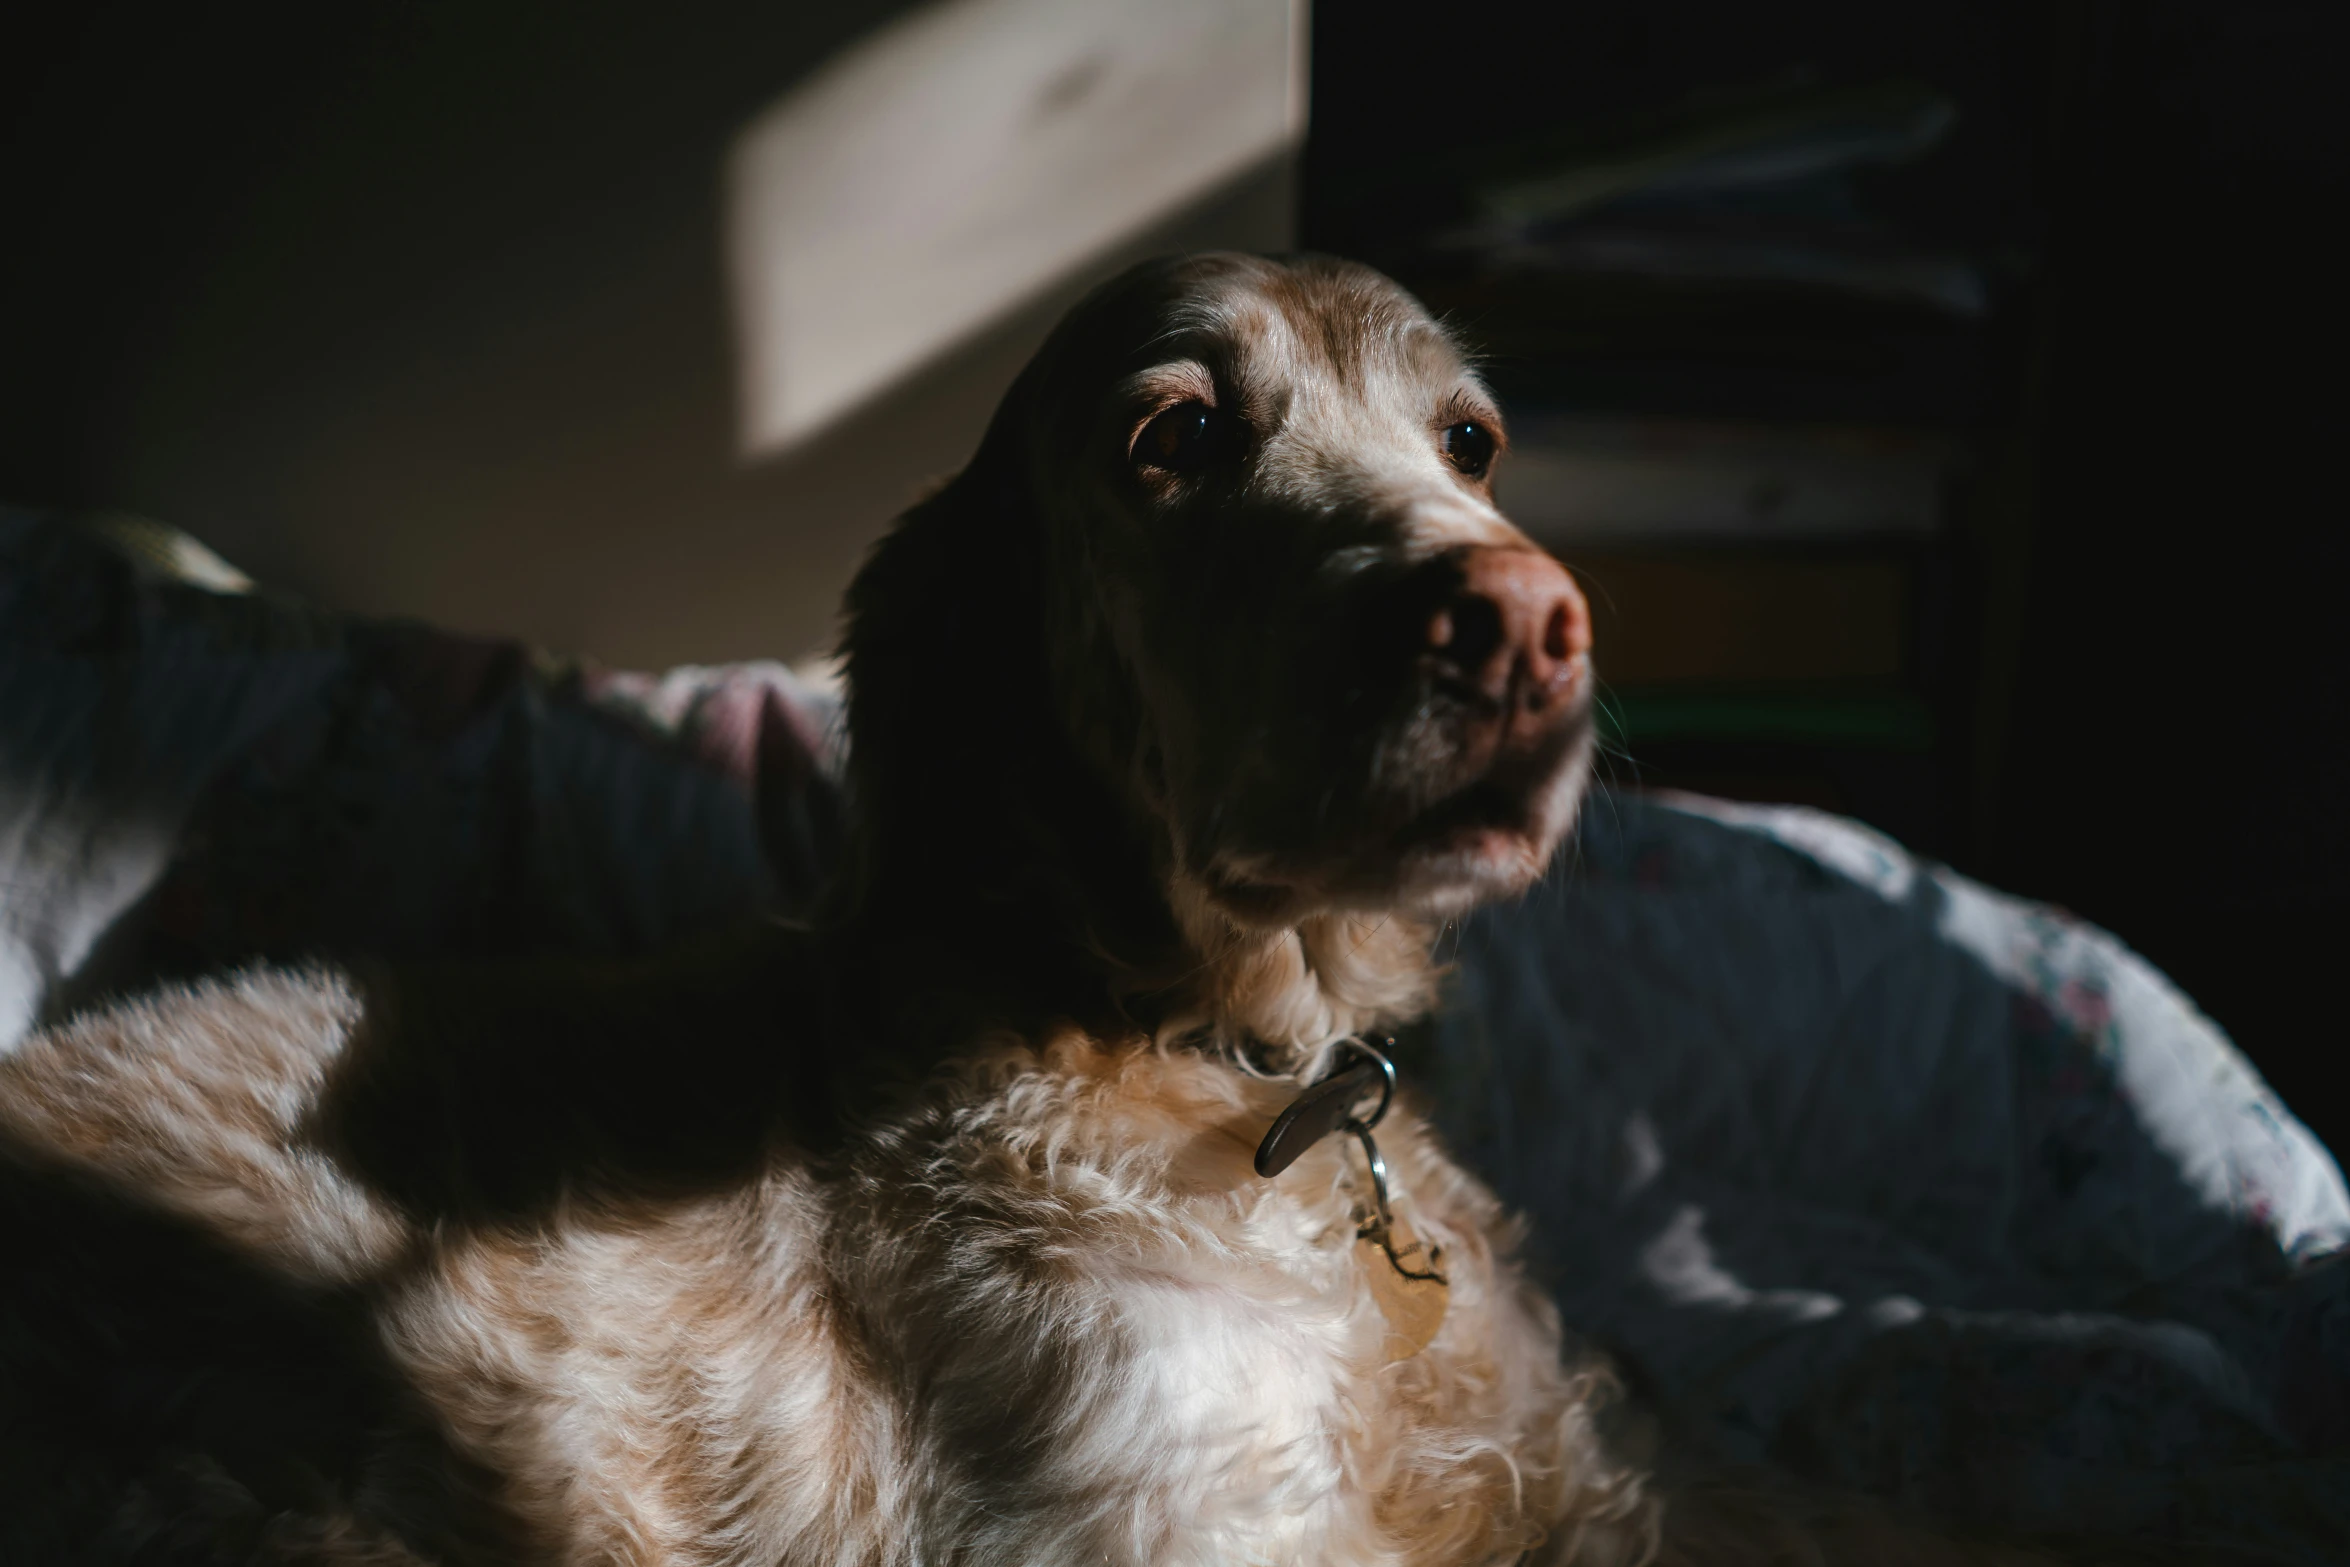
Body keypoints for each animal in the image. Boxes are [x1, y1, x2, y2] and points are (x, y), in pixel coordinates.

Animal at [0, 257, 2058, 1567]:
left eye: (1468, 439)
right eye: (1173, 439)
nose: (1523, 622)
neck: (1229, 1066)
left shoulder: (1594, 1466)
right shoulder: (1183, 1518)